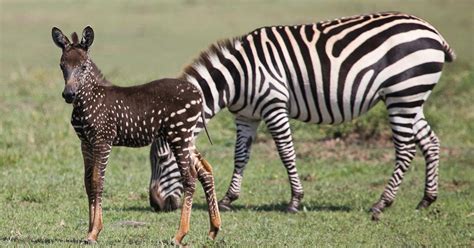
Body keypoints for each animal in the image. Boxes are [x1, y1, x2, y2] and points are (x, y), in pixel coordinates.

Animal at [51, 26, 221, 245]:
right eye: (62, 65)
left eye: (83, 66)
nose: (68, 95)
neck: (87, 100)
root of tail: (198, 94)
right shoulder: (85, 143)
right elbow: (88, 183)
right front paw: (89, 230)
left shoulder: (103, 140)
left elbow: (98, 181)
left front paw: (94, 232)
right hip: (187, 137)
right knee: (205, 171)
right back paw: (214, 228)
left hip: (179, 135)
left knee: (189, 178)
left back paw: (179, 235)